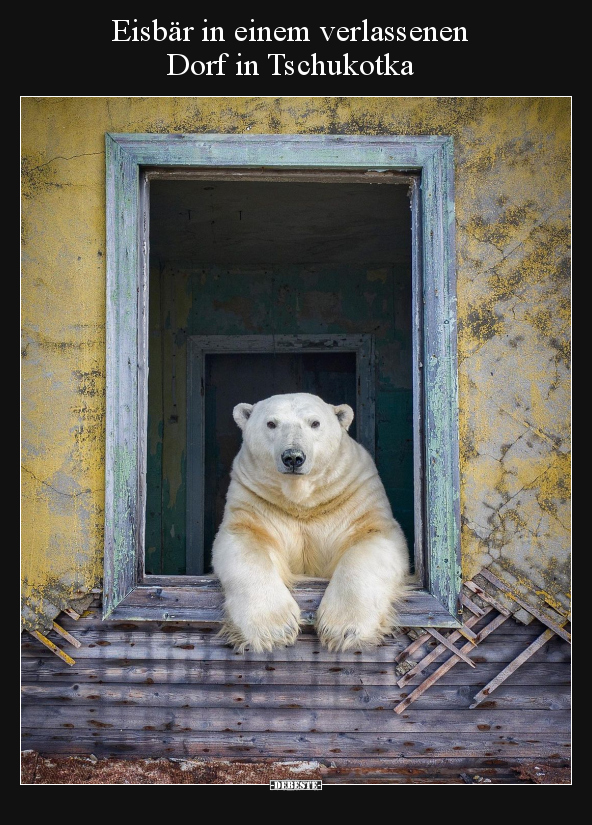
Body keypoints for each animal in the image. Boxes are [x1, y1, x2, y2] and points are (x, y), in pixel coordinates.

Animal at [210, 392, 410, 652]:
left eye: (315, 423)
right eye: (271, 423)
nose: (293, 457)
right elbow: (245, 542)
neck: (303, 502)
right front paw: (274, 629)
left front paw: (343, 629)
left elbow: (372, 539)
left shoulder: (354, 495)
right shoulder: (255, 500)